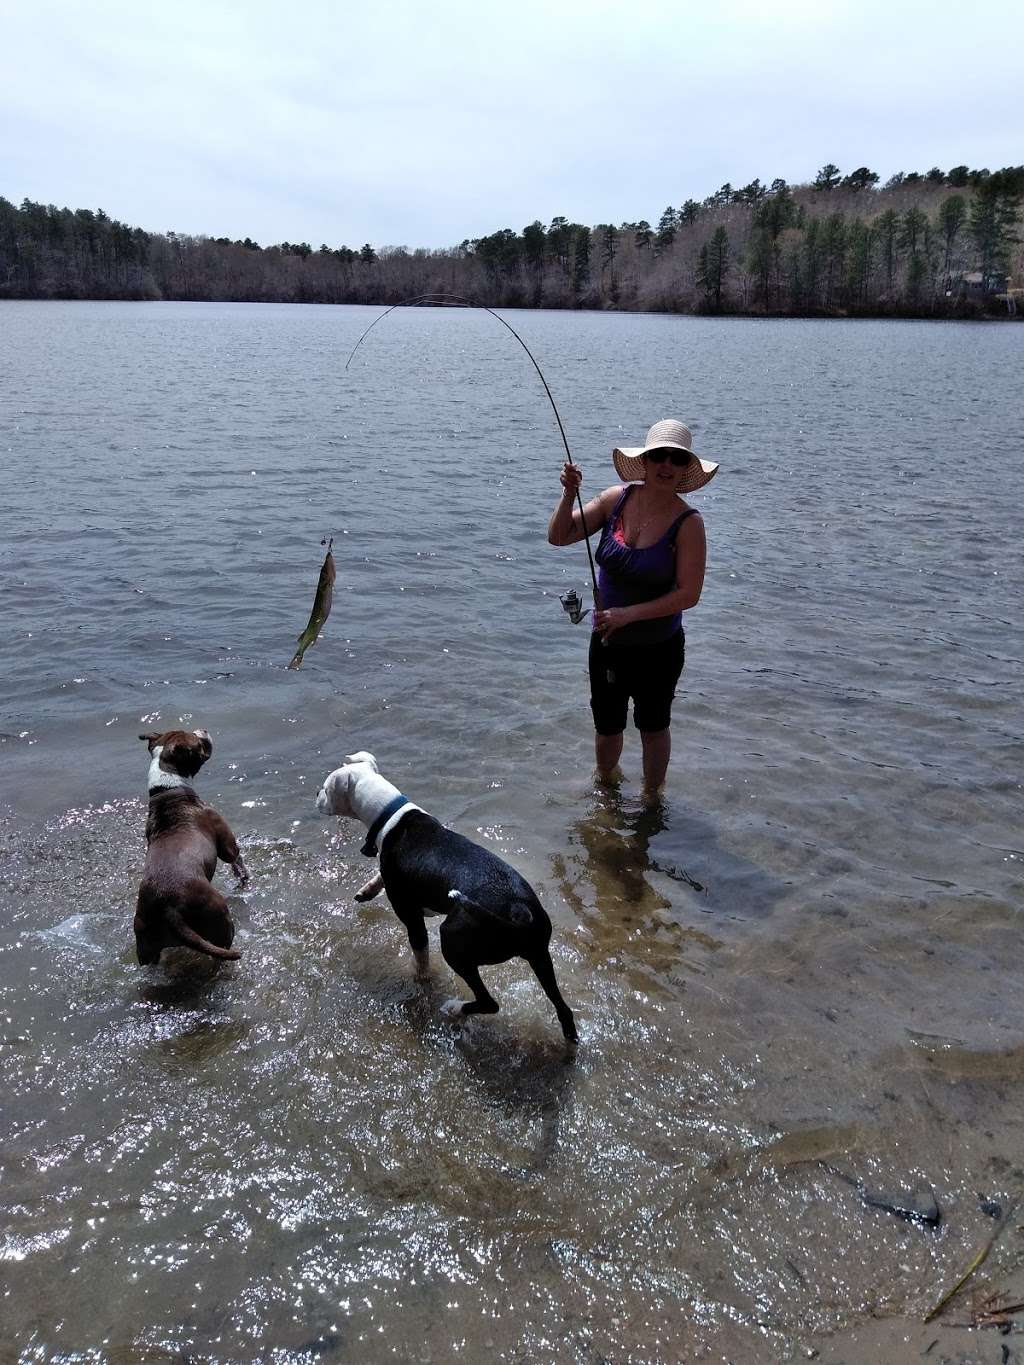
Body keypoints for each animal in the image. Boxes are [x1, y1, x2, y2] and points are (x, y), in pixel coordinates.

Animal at [135, 731, 249, 966]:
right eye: (198, 744)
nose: (203, 730)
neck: (168, 787)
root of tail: (169, 907)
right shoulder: (225, 843)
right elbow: (236, 858)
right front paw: (243, 875)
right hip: (219, 917)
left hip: (145, 939)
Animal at [315, 753, 578, 1037]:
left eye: (326, 789)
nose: (316, 793)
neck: (390, 817)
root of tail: (519, 912)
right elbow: (380, 876)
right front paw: (368, 889)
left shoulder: (411, 918)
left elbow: (421, 957)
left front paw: (419, 979)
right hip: (540, 956)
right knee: (563, 1009)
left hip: (453, 941)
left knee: (489, 1002)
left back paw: (455, 1008)